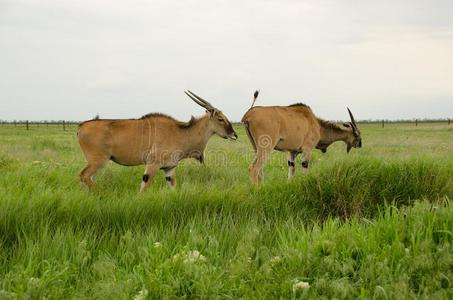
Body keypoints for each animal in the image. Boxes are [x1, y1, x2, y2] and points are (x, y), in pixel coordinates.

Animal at [77, 90, 237, 192]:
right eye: (220, 119)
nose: (234, 135)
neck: (180, 132)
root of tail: (81, 127)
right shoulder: (152, 165)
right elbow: (143, 190)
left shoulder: (169, 169)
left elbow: (173, 190)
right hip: (98, 160)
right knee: (84, 175)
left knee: (87, 178)